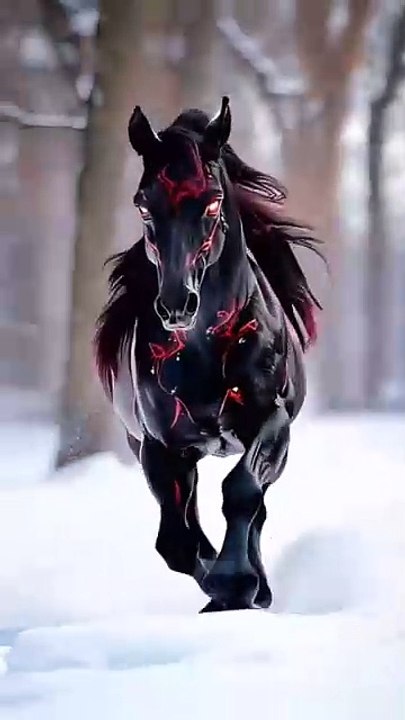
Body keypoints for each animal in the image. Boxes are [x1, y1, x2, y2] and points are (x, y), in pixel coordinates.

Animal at [95, 97, 322, 613]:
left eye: (214, 200)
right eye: (143, 203)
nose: (177, 305)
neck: (202, 354)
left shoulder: (271, 422)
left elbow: (241, 492)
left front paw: (238, 583)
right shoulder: (160, 447)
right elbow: (177, 542)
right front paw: (225, 590)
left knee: (255, 505)